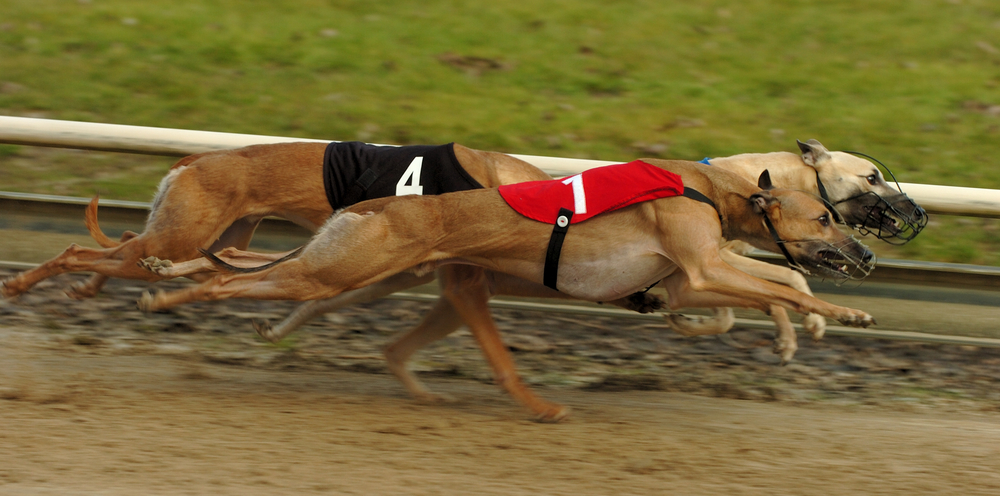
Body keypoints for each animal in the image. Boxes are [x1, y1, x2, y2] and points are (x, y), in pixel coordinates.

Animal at [139, 158, 876, 418]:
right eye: (824, 218)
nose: (868, 254)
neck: (712, 188)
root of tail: (374, 207)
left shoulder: (686, 282)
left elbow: (777, 286)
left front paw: (807, 326)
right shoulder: (701, 268)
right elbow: (792, 287)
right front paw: (843, 314)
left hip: (361, 271)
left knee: (255, 281)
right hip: (340, 269)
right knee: (234, 286)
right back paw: (166, 294)